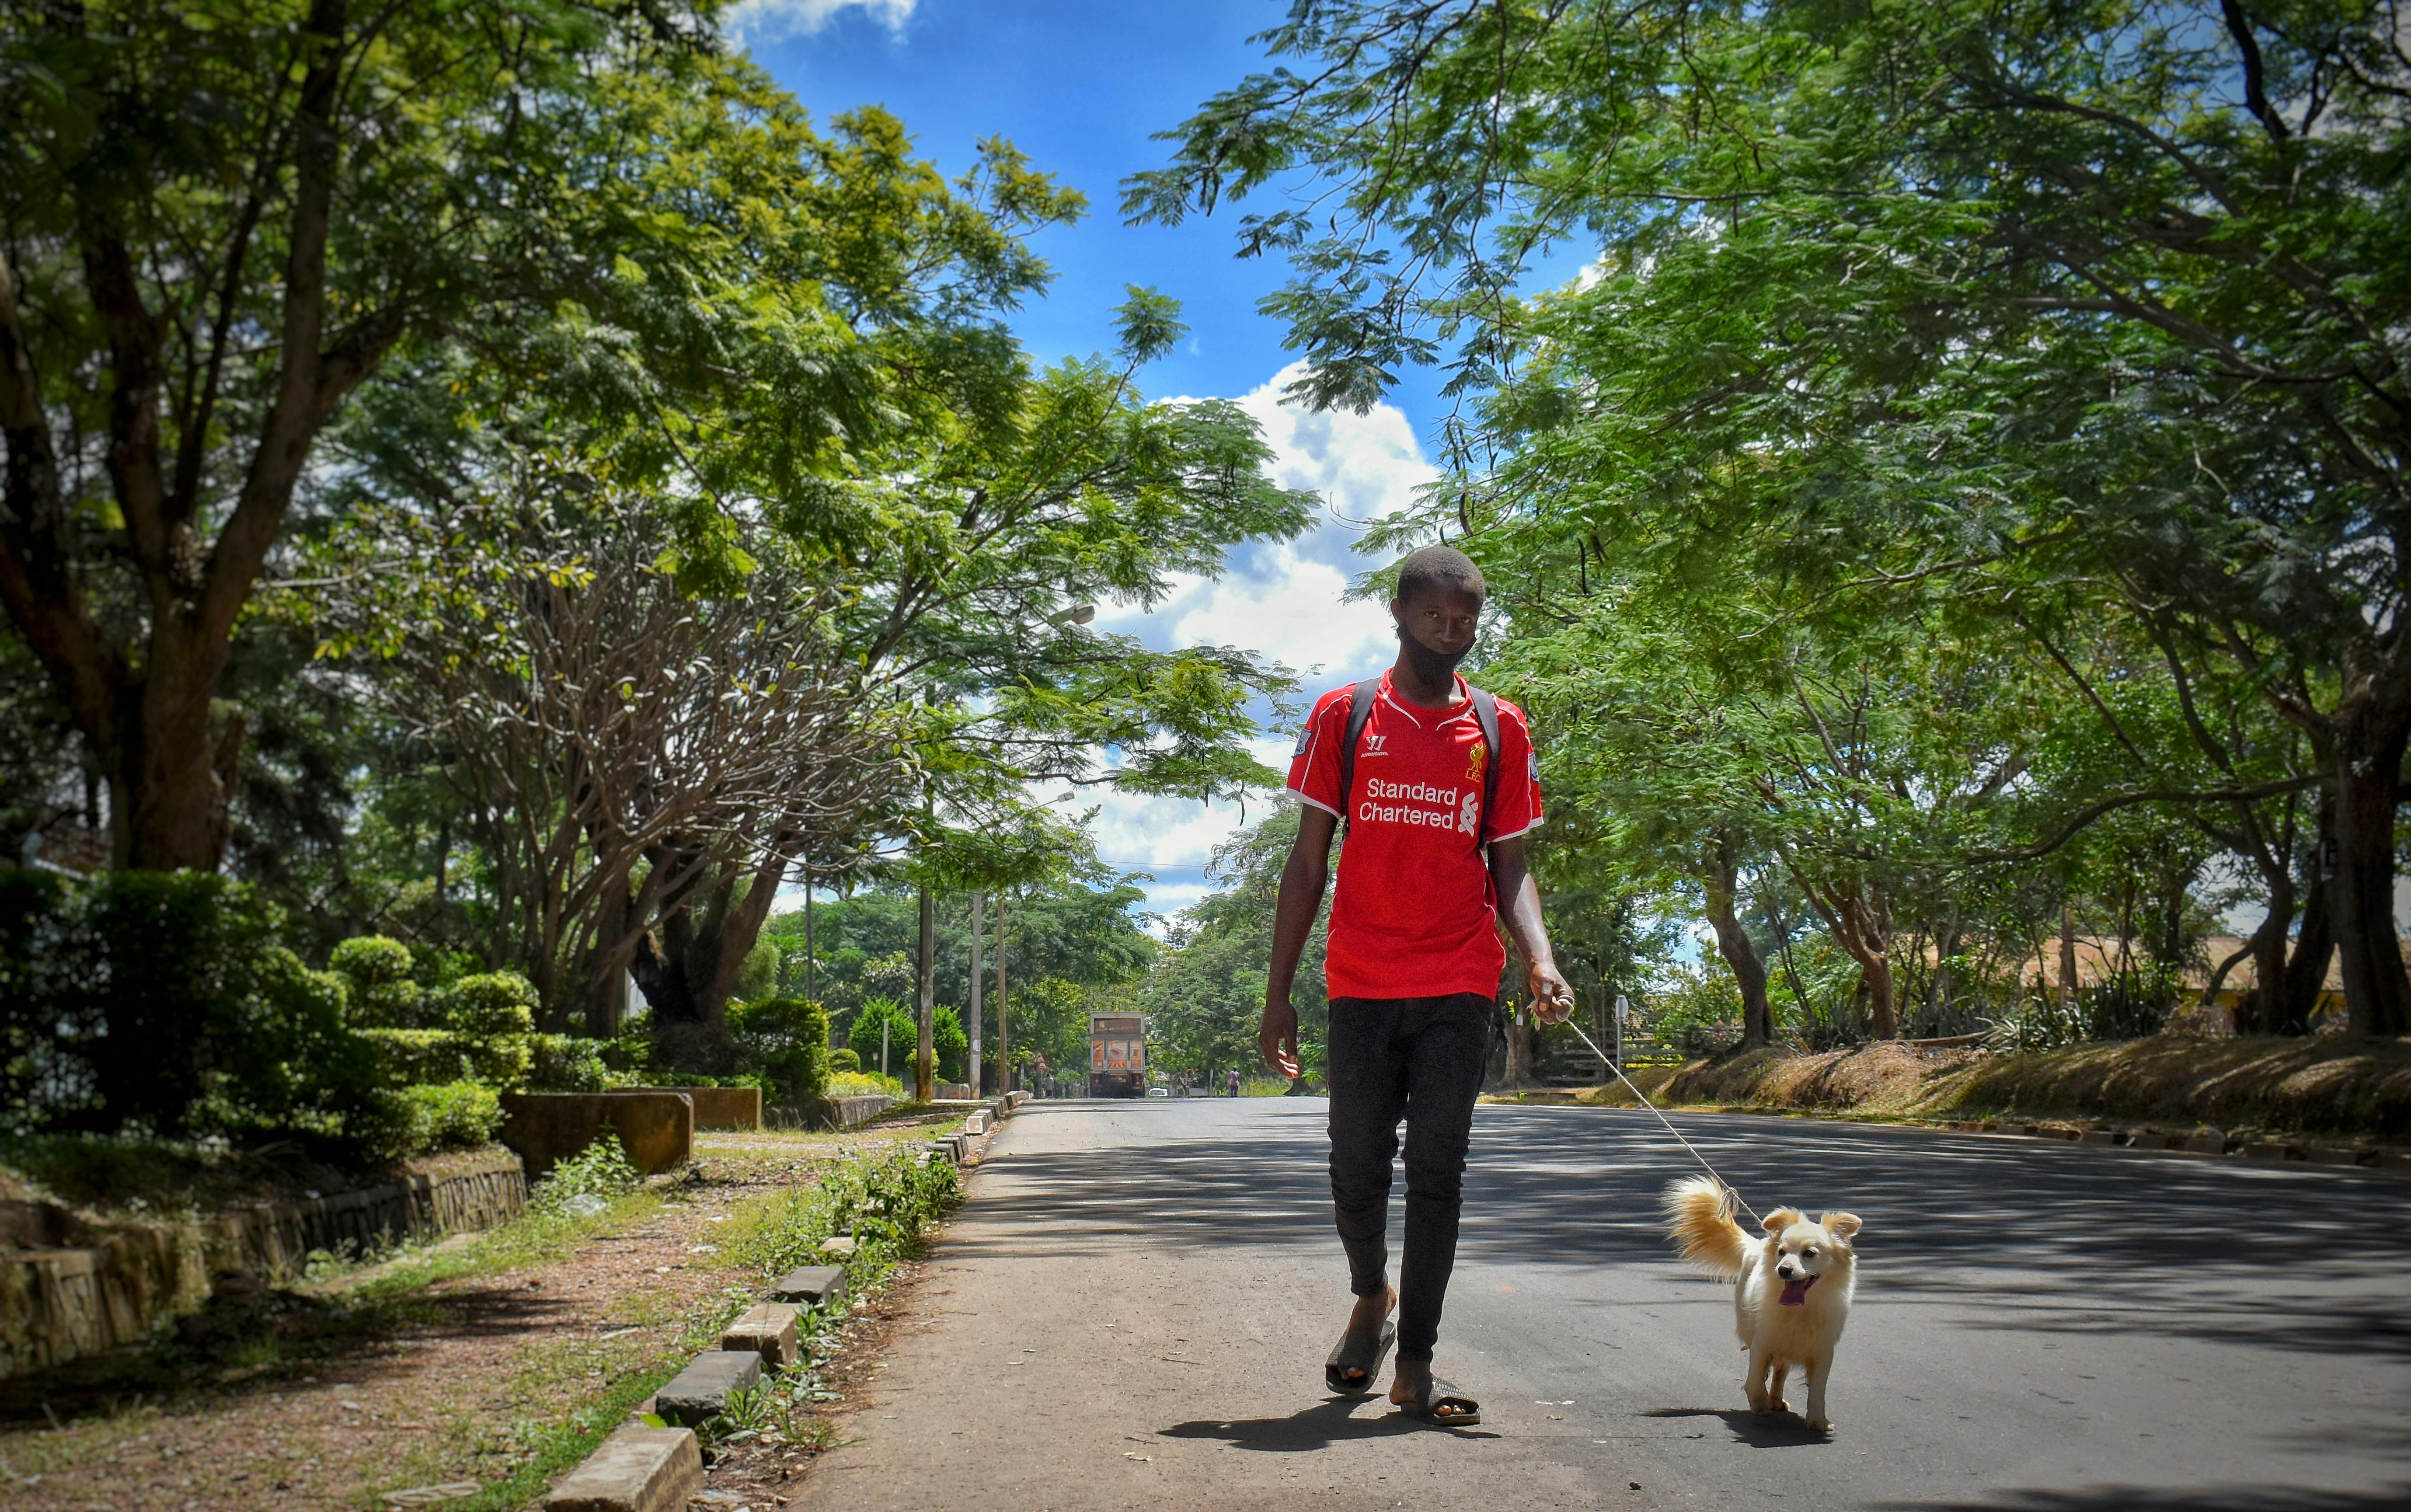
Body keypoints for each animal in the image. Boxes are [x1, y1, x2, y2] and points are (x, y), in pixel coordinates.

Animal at [1659, 1177, 1861, 1437]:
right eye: (1782, 1252)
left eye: (1809, 1253)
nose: (1783, 1270)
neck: (1801, 1309)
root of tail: (1757, 1243)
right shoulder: (1762, 1343)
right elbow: (1754, 1379)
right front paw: (1759, 1402)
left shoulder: (1823, 1352)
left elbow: (1817, 1389)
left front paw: (1818, 1420)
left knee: (1781, 1371)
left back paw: (1776, 1399)